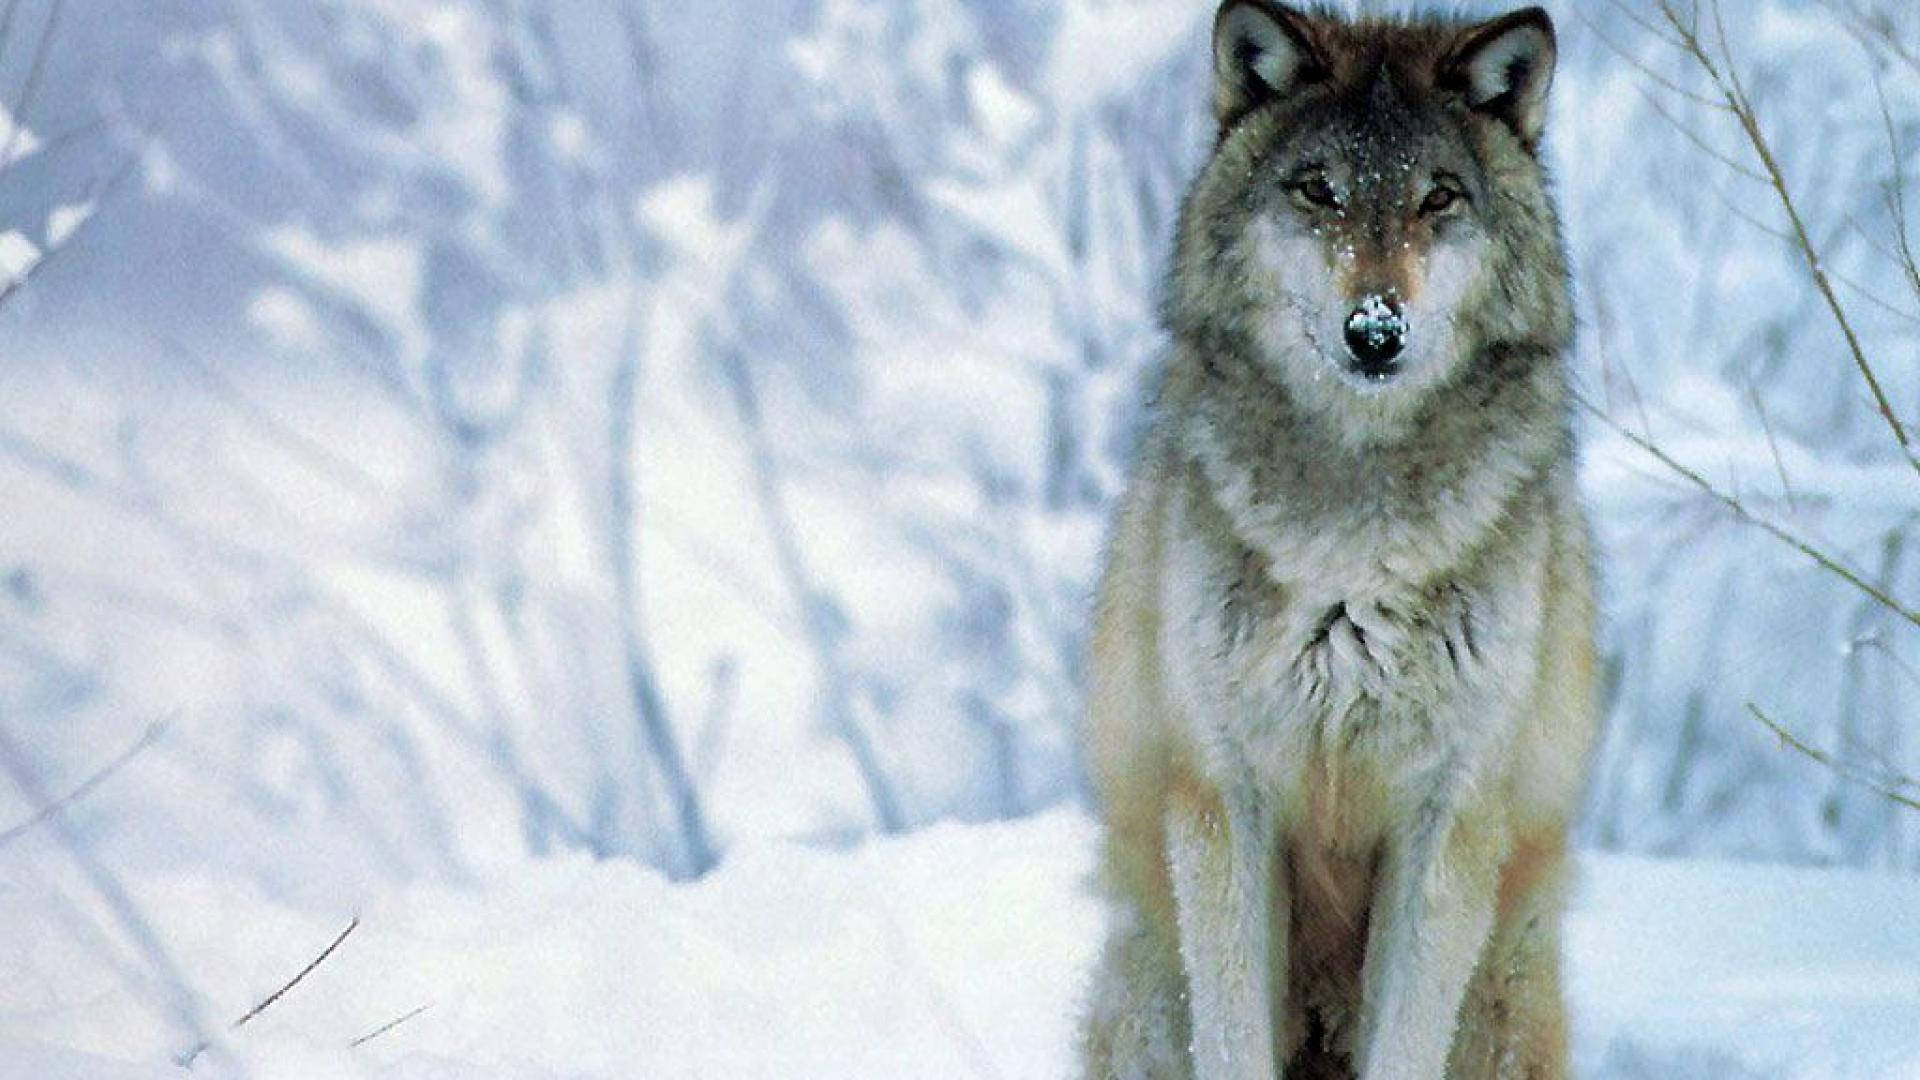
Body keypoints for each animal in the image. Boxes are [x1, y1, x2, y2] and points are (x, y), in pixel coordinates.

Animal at [1077, 4, 1596, 1079]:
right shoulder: (1224, 800)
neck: (1353, 551)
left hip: (1506, 996)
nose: (1376, 331)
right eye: (1320, 190)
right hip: (1146, 981)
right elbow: (1233, 1038)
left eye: (1439, 197)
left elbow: (1406, 1039)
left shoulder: (1447, 819)